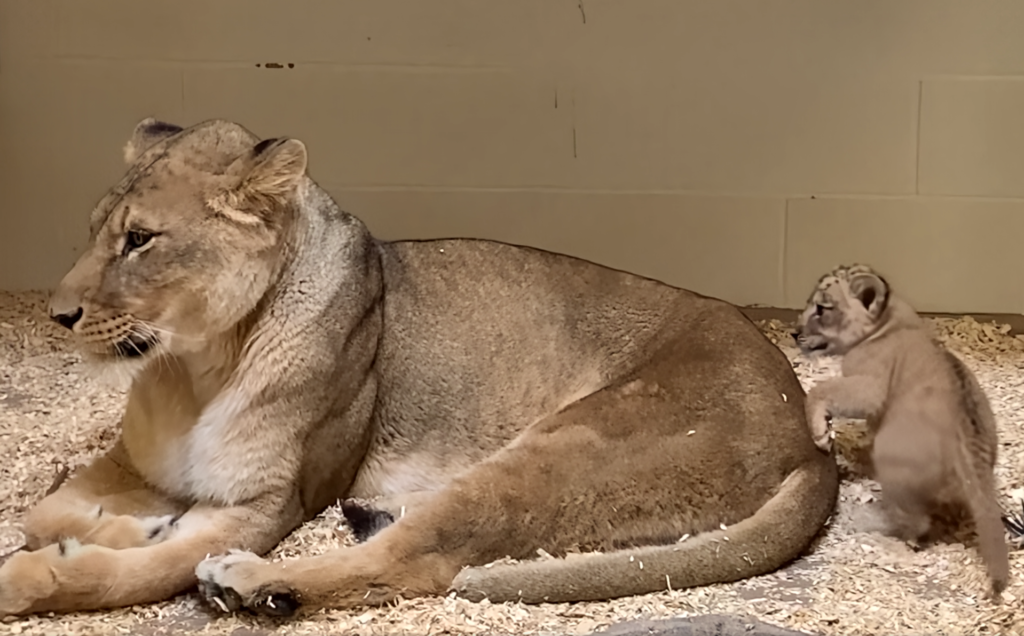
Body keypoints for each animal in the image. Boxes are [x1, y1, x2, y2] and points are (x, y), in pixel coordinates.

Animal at [0, 118, 837, 618]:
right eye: (95, 232)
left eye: (139, 240)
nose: (58, 314)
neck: (193, 368)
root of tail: (806, 431)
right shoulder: (132, 462)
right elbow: (43, 511)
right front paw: (120, 526)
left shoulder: (269, 502)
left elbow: (143, 570)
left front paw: (40, 575)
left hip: (568, 445)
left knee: (415, 560)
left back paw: (255, 586)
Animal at [793, 264, 1009, 597]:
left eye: (821, 308)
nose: (794, 333)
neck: (890, 322)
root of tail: (973, 456)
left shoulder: (869, 387)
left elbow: (821, 390)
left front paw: (820, 432)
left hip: (894, 467)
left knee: (917, 527)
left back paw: (880, 534)